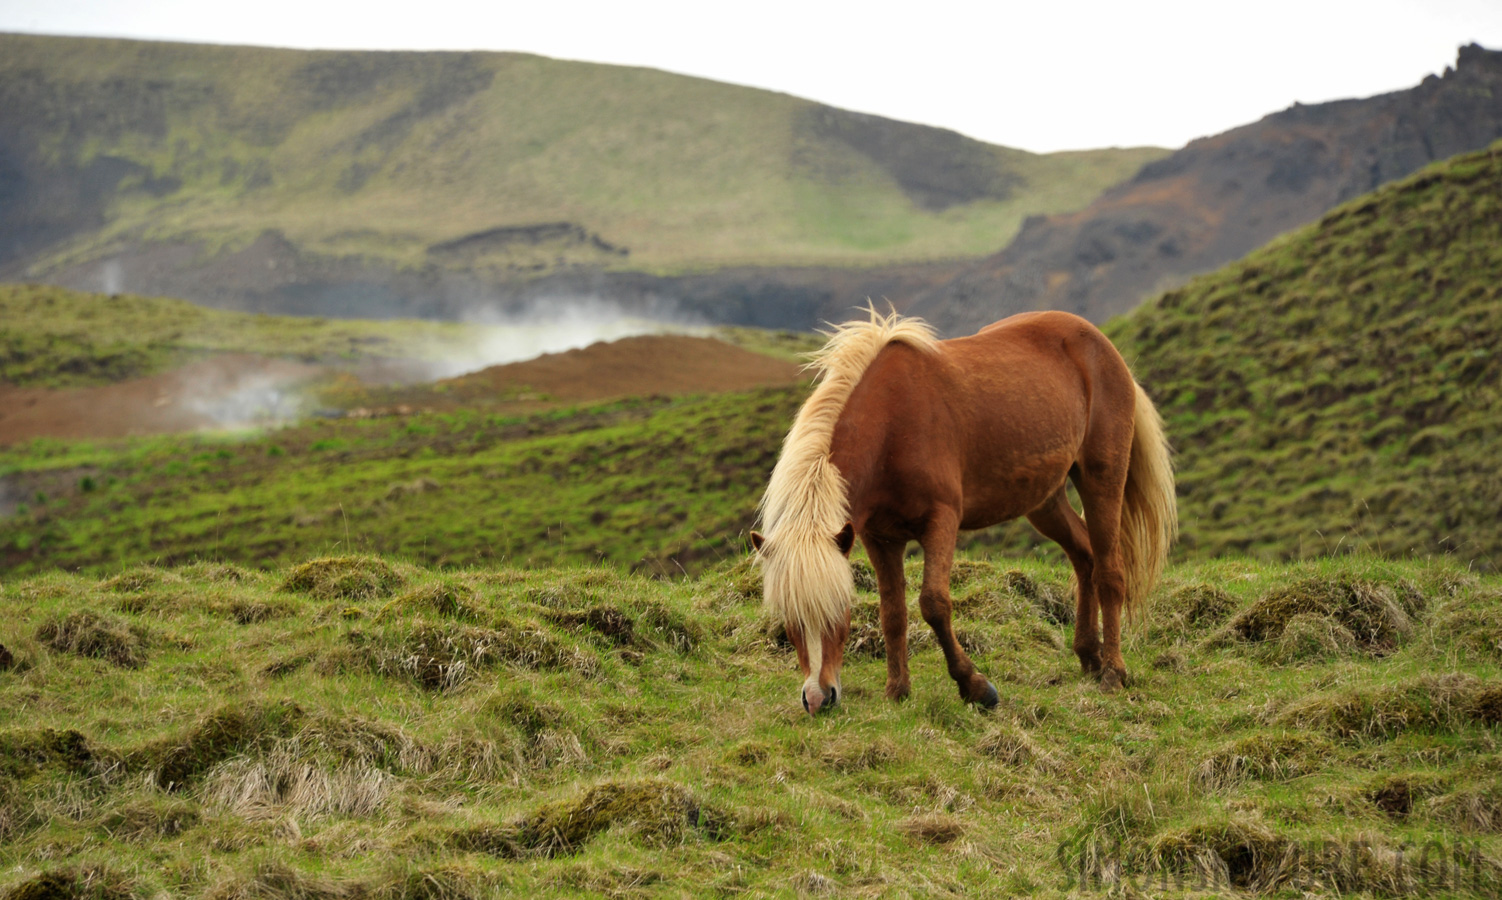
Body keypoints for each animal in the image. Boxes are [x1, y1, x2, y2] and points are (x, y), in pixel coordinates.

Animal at [751, 306, 1171, 715]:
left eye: (840, 609)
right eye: (788, 618)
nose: (818, 698)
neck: (892, 423)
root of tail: (1100, 342)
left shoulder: (941, 522)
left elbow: (934, 605)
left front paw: (977, 688)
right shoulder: (879, 538)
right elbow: (893, 613)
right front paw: (897, 691)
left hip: (1102, 477)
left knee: (1110, 571)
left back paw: (1113, 672)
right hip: (1044, 500)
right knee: (1084, 556)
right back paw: (1089, 657)